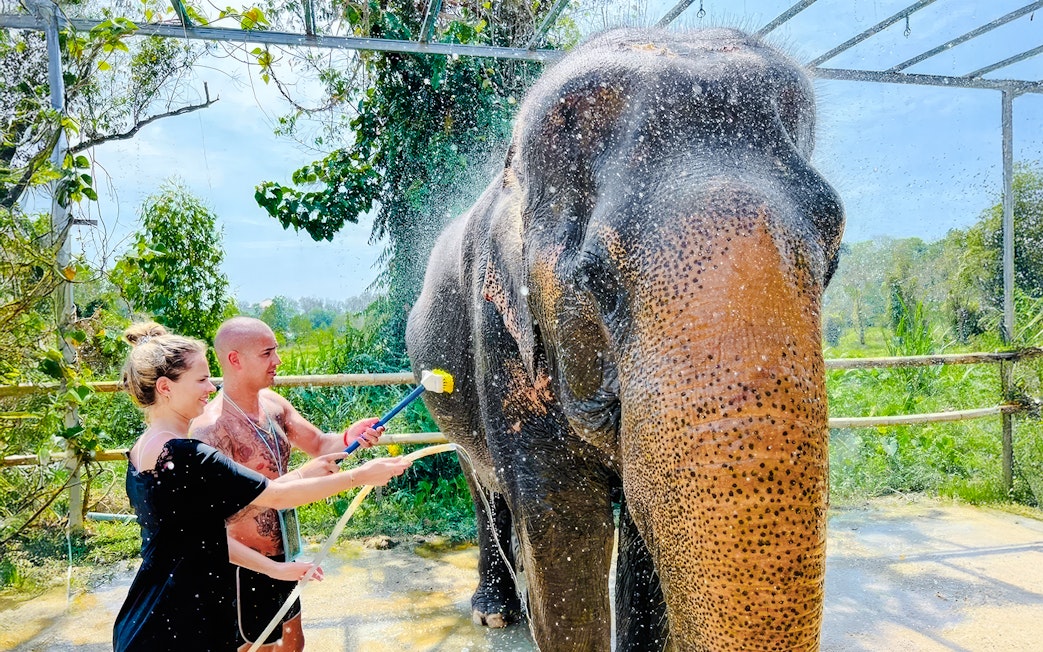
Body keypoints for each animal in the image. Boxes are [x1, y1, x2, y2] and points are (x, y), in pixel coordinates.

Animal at [405, 27, 844, 651]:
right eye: (597, 279)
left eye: (833, 255)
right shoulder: (500, 337)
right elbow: (562, 531)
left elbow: (643, 542)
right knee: (482, 483)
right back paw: (494, 613)